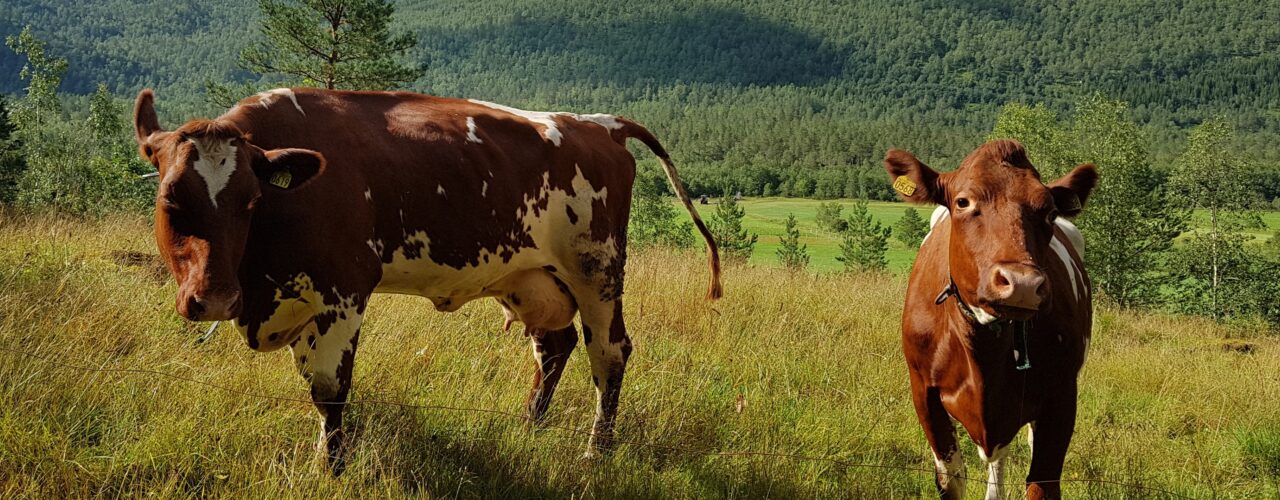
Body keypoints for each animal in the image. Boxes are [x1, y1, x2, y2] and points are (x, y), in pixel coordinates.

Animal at [138, 88, 727, 475]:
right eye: (171, 199)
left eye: (251, 201)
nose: (215, 299)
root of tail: (598, 123)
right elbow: (314, 387)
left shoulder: (344, 291)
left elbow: (329, 390)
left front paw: (333, 468)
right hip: (533, 278)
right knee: (553, 346)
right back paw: (530, 427)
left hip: (597, 272)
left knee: (609, 353)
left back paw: (595, 451)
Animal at [890, 140, 1100, 500]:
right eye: (963, 201)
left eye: (1049, 212)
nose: (1023, 284)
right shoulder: (923, 392)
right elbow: (952, 478)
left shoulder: (1061, 395)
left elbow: (1042, 484)